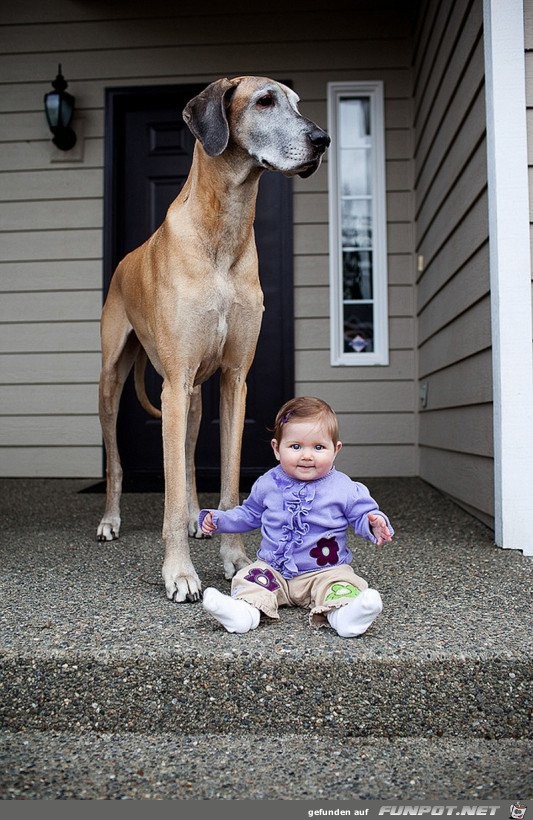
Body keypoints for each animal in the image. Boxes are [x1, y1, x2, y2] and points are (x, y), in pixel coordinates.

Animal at [95, 77, 328, 604]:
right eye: (264, 101)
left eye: (297, 103)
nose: (321, 140)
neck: (225, 227)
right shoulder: (174, 383)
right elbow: (169, 487)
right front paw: (179, 573)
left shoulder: (234, 381)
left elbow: (226, 476)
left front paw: (236, 559)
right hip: (114, 382)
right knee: (118, 462)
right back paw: (110, 519)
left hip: (196, 396)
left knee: (185, 457)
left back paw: (193, 518)